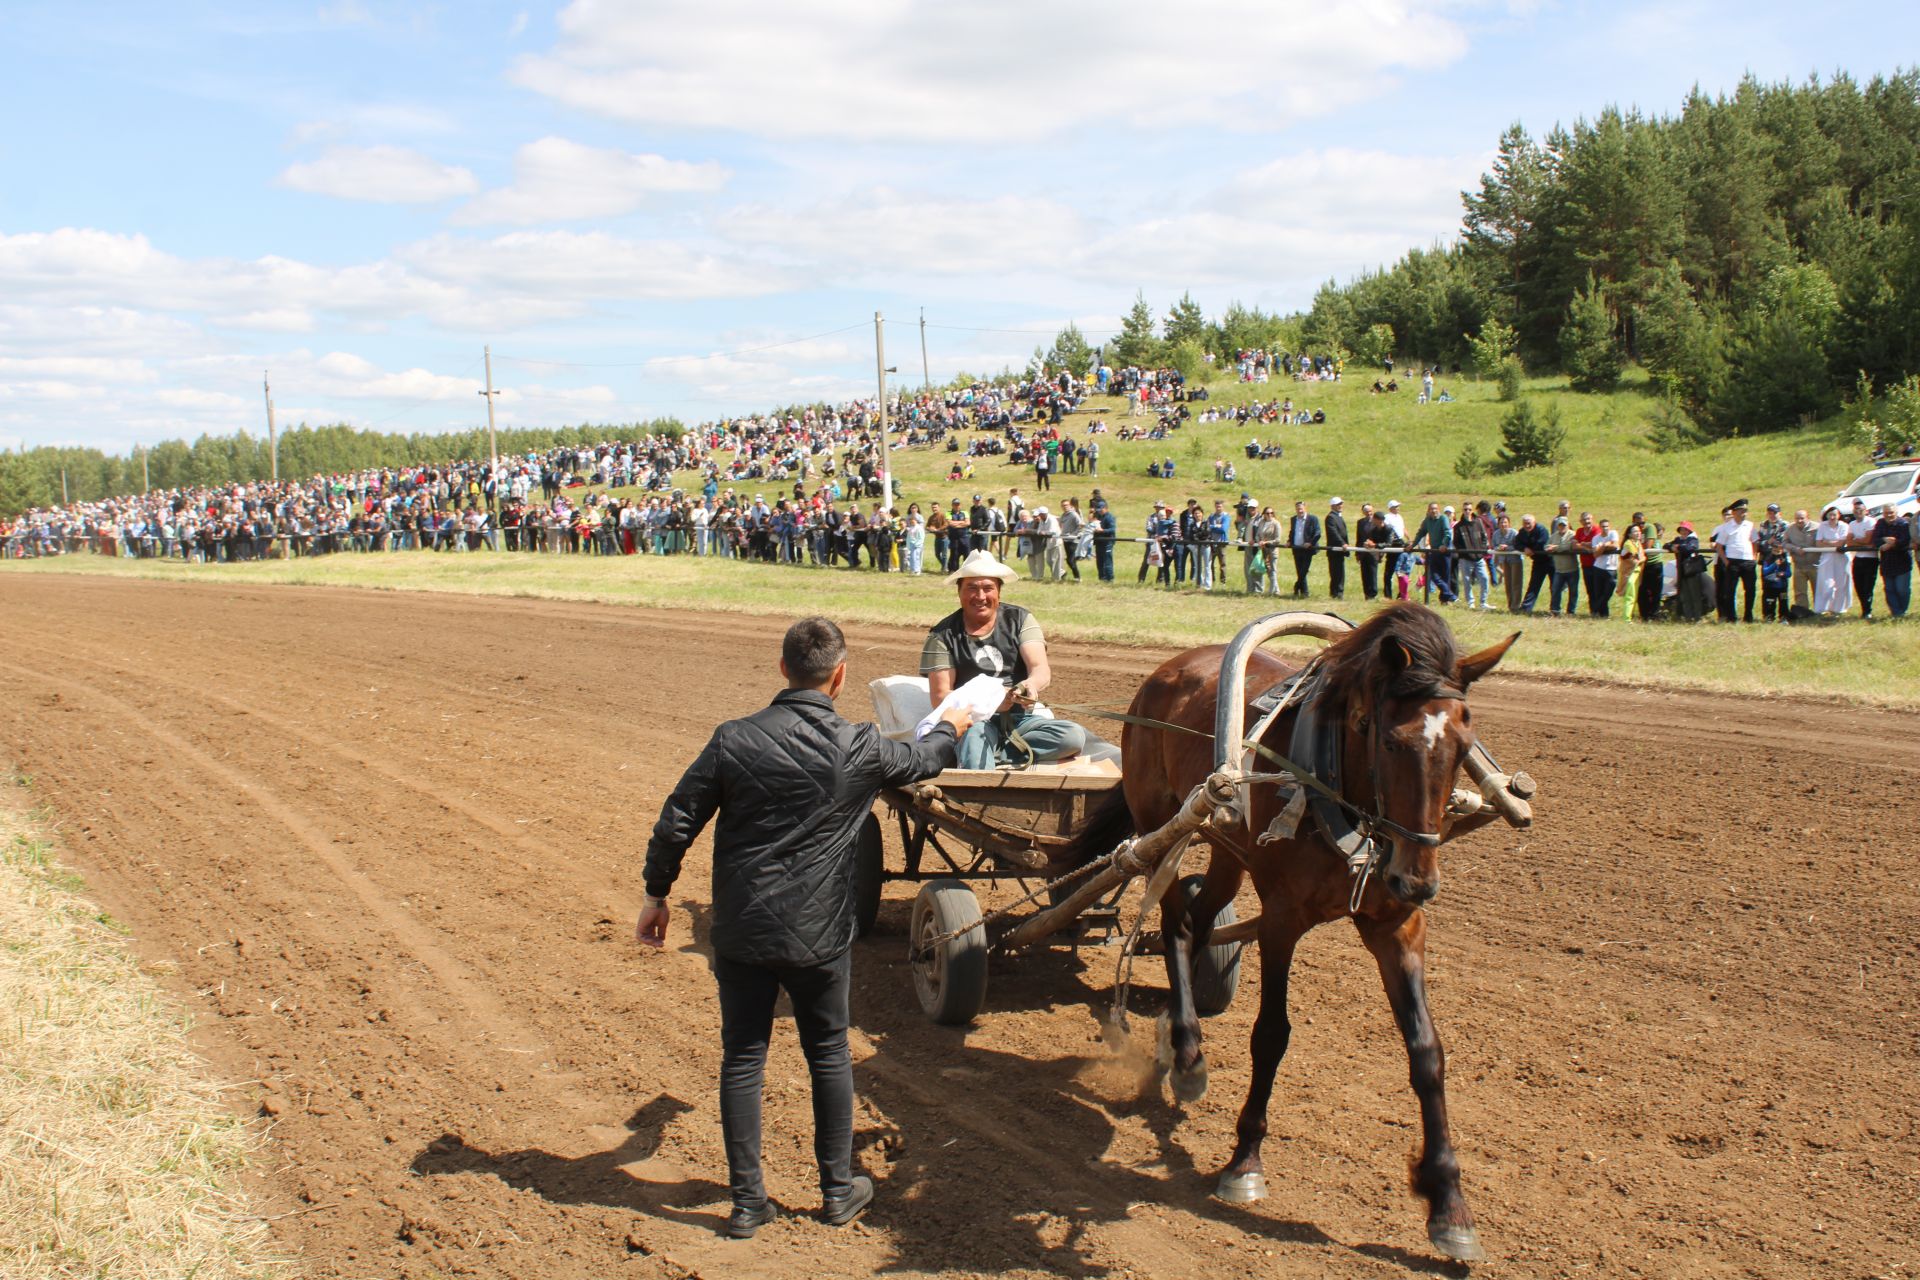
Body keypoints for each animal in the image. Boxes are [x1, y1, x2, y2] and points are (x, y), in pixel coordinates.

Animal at [1121, 606, 1505, 1266]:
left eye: (1461, 746)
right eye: (1392, 740)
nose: (1419, 880)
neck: (1339, 789)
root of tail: (1169, 668)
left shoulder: (1397, 925)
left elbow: (1427, 1053)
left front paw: (1449, 1203)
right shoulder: (1282, 917)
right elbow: (1271, 1035)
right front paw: (1244, 1160)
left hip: (1226, 845)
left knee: (1197, 921)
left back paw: (1177, 1034)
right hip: (1162, 824)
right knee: (1173, 922)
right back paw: (1189, 1049)